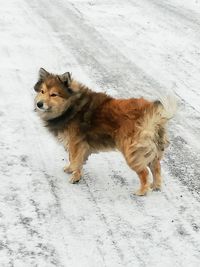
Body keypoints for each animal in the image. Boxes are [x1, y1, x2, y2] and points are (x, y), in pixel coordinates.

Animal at [34, 68, 177, 196]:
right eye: (42, 91)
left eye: (53, 94)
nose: (39, 104)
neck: (72, 105)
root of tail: (152, 114)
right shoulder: (79, 145)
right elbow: (75, 160)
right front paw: (71, 170)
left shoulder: (76, 143)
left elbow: (75, 160)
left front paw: (75, 176)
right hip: (151, 148)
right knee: (156, 167)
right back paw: (156, 186)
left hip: (132, 152)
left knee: (144, 172)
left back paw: (142, 191)